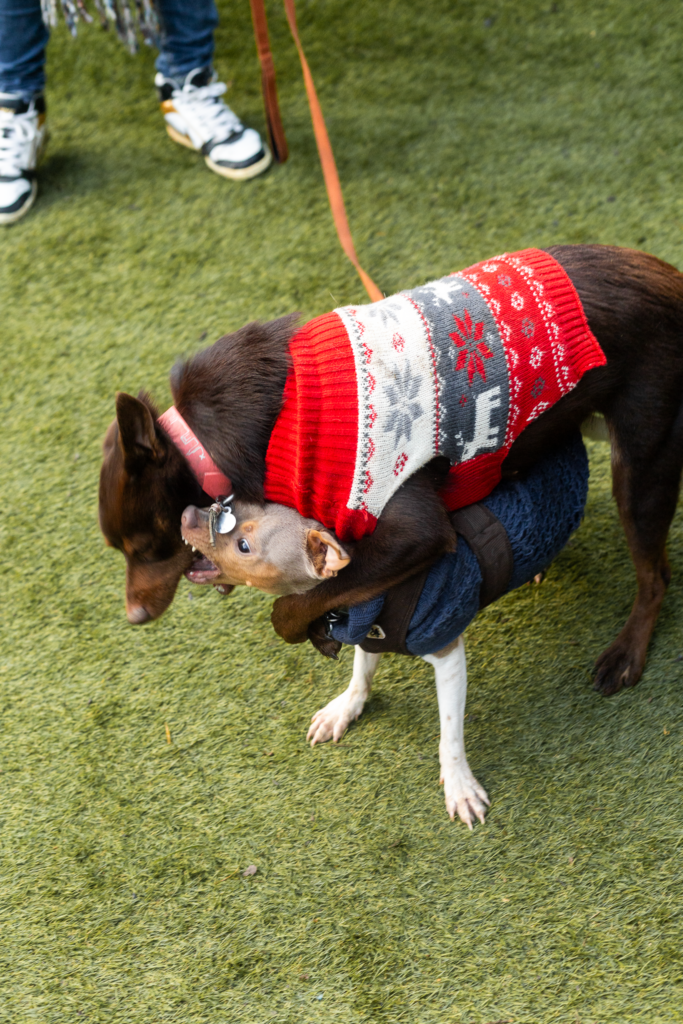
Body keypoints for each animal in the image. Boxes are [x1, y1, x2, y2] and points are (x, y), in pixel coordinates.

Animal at [97, 246, 683, 696]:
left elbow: (299, 601)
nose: (133, 617)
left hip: (642, 465)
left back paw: (626, 653)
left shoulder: (413, 531)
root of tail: (671, 279)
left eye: (146, 547)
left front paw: (310, 629)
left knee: (655, 575)